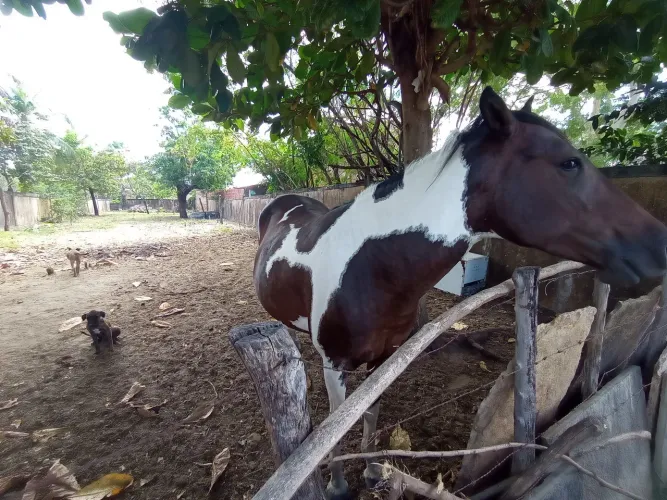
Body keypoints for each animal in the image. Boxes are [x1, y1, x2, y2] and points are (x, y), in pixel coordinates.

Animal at [253, 86, 667, 498]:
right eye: (569, 163)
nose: (659, 243)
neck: (368, 268)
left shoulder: (384, 360)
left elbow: (369, 414)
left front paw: (371, 471)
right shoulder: (336, 364)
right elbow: (336, 434)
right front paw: (338, 485)